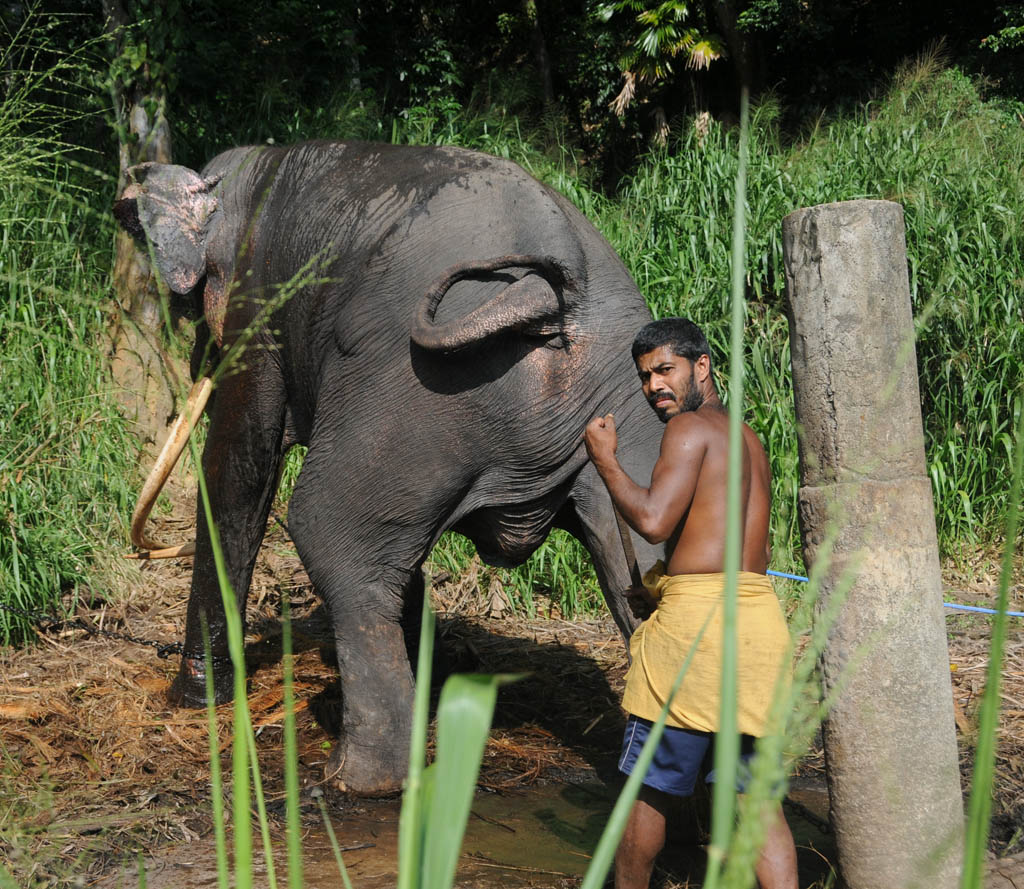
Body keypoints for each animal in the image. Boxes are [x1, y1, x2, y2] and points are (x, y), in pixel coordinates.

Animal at [114, 142, 671, 794]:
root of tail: (554, 290)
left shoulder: (260, 297)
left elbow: (239, 469)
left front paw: (194, 696)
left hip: (416, 393)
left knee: (329, 531)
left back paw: (352, 781)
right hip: (633, 410)